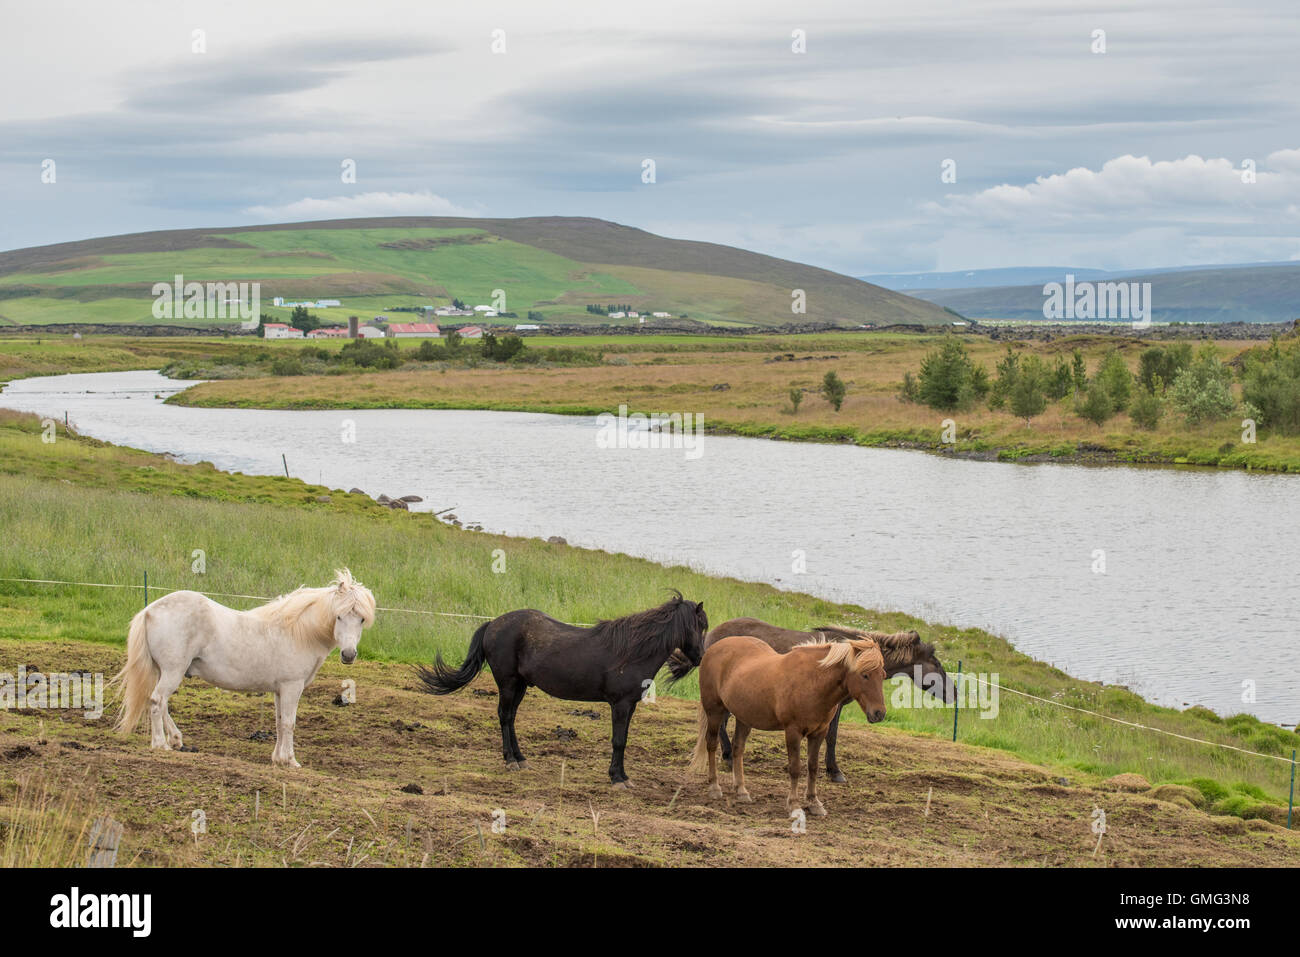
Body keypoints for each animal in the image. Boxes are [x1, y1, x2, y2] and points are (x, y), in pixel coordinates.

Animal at [113, 569, 376, 768]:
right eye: (339, 616)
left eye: (361, 619)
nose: (348, 654)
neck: (298, 632)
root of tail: (150, 610)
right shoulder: (292, 687)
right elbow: (289, 723)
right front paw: (290, 761)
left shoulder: (280, 690)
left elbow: (279, 722)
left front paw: (277, 759)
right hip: (172, 671)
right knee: (157, 701)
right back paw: (161, 745)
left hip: (164, 672)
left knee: (161, 703)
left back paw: (176, 740)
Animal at [414, 592, 707, 788]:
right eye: (700, 626)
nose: (700, 658)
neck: (632, 652)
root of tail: (493, 624)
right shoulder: (620, 705)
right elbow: (618, 741)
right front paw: (617, 778)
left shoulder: (630, 705)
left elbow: (623, 740)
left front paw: (622, 776)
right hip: (508, 683)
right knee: (505, 716)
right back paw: (510, 760)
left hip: (520, 685)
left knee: (511, 718)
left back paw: (520, 758)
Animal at [671, 617, 955, 782]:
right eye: (936, 664)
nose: (954, 694)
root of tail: (711, 638)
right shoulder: (834, 707)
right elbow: (832, 737)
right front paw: (835, 772)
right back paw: (729, 756)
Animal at [688, 635, 887, 817]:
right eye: (865, 675)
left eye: (883, 675)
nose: (879, 713)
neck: (813, 681)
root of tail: (714, 647)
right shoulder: (793, 732)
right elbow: (795, 768)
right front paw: (794, 804)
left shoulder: (819, 733)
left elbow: (812, 767)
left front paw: (814, 803)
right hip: (714, 711)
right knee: (711, 745)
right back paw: (714, 787)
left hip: (744, 718)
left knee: (738, 749)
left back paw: (741, 791)